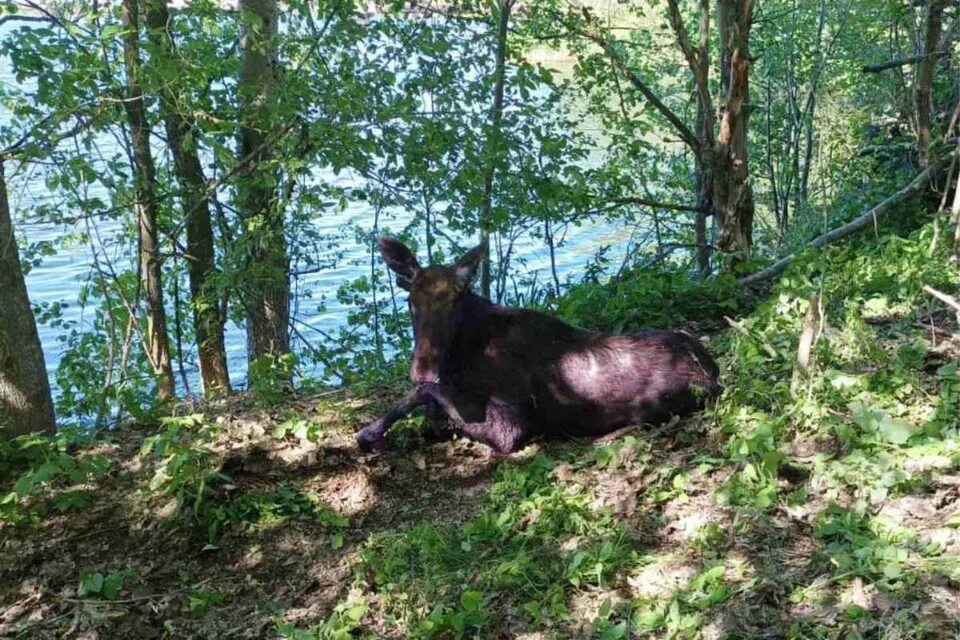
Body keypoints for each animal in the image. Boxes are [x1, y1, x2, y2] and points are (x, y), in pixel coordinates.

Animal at [358, 236, 720, 456]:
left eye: (457, 299)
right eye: (410, 301)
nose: (423, 367)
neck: (461, 357)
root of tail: (714, 373)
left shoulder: (511, 427)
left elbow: (424, 395)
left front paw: (370, 432)